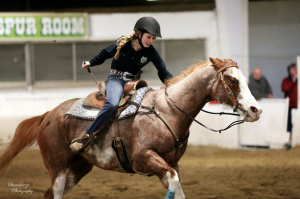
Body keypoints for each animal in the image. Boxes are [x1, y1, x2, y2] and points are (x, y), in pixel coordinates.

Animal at [0, 57, 262, 199]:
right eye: (233, 80)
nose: (256, 110)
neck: (167, 110)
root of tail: (47, 116)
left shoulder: (170, 164)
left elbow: (177, 187)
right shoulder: (144, 158)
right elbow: (174, 183)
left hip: (77, 169)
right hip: (58, 168)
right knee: (53, 192)